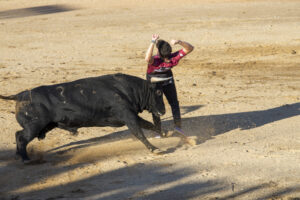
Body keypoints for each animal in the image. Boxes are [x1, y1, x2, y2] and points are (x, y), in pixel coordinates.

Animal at [0, 73, 166, 162]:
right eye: (158, 93)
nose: (163, 111)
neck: (126, 89)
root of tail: (19, 95)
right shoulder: (128, 116)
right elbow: (140, 132)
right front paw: (155, 149)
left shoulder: (130, 116)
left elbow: (148, 125)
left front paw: (165, 133)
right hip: (34, 126)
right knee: (21, 137)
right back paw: (25, 159)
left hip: (42, 126)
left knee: (18, 135)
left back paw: (19, 155)